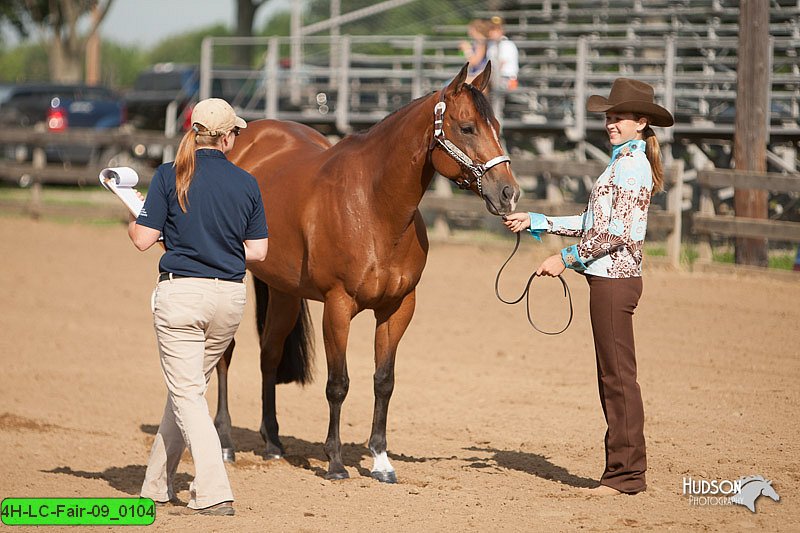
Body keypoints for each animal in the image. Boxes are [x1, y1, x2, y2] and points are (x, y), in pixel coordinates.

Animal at [212, 62, 520, 482]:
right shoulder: (337, 306)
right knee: (225, 355)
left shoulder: (398, 308)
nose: (509, 193)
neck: (374, 207)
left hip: (284, 290)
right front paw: (335, 462)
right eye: (468, 127)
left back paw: (273, 443)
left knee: (269, 353)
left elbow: (384, 381)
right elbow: (338, 384)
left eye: (498, 127)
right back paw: (225, 443)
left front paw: (381, 460)